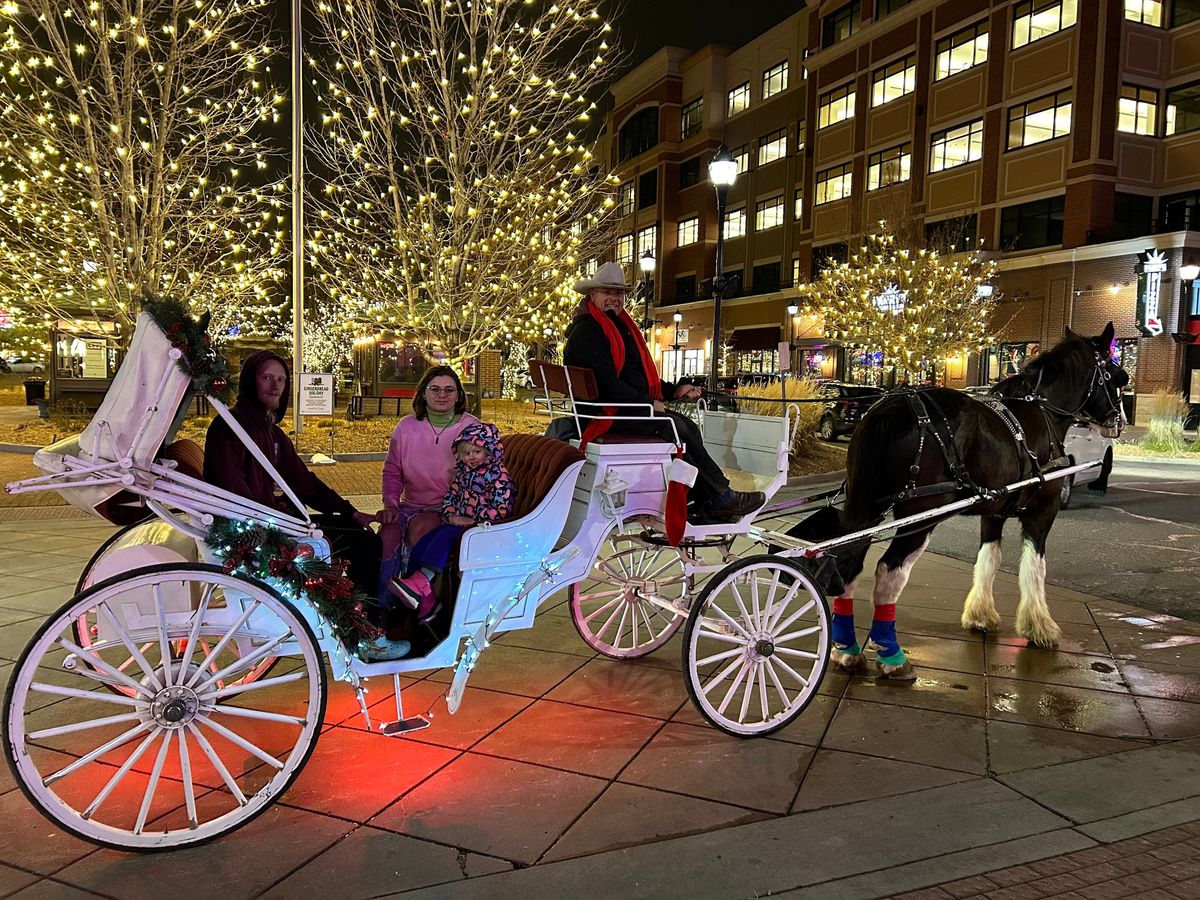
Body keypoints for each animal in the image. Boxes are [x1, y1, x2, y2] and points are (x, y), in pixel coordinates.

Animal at [816, 328, 1123, 681]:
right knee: (888, 572)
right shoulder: (1043, 510)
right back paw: (891, 656)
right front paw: (1039, 626)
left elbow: (989, 559)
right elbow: (1034, 566)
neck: (1043, 413)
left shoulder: (994, 509)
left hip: (867, 505)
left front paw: (981, 615)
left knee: (849, 564)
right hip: (919, 516)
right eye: (1116, 374)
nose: (1117, 421)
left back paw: (847, 651)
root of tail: (892, 406)